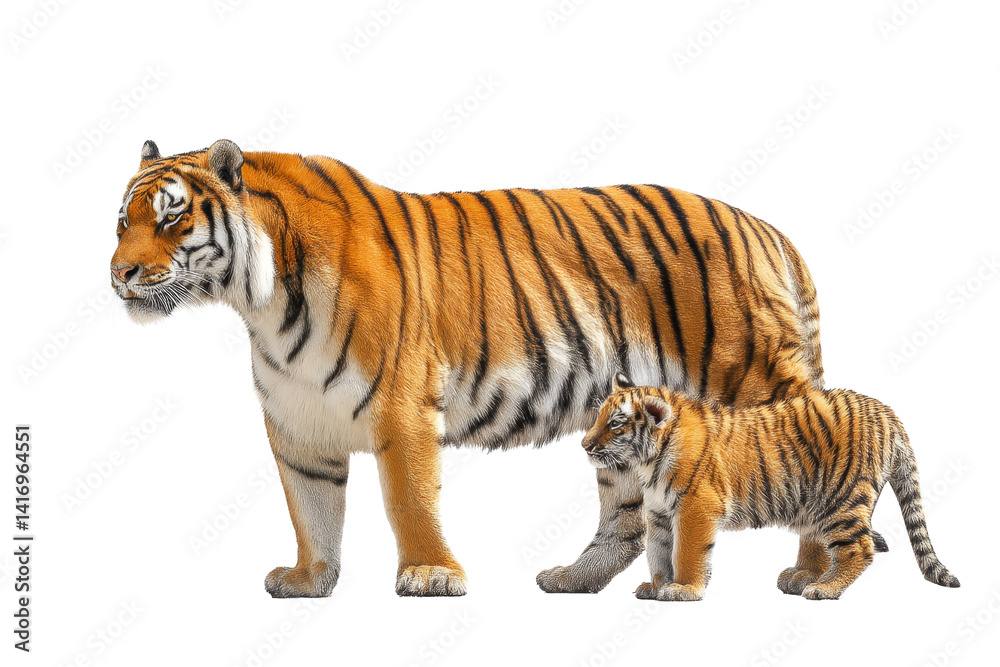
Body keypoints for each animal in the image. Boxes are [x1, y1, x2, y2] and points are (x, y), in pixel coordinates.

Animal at [110, 137, 869, 597]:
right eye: (122, 220)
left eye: (173, 218)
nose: (119, 274)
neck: (261, 300)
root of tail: (769, 232)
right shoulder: (298, 426)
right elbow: (311, 508)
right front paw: (308, 578)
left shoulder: (400, 407)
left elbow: (407, 498)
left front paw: (428, 574)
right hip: (626, 428)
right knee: (626, 518)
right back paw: (572, 579)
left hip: (756, 384)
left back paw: (807, 575)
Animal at [582, 375, 960, 600]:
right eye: (599, 416)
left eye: (615, 424)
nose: (584, 445)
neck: (649, 459)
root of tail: (886, 411)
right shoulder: (660, 512)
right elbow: (659, 552)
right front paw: (657, 585)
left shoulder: (696, 507)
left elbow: (686, 551)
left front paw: (683, 588)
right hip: (816, 502)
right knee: (819, 542)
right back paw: (802, 576)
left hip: (842, 499)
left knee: (859, 548)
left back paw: (824, 588)